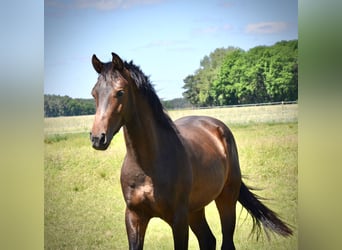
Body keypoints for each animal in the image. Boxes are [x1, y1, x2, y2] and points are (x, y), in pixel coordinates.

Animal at [89, 51, 292, 249]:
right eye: (94, 94)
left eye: (120, 92)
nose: (97, 138)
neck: (147, 166)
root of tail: (218, 127)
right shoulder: (134, 217)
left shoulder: (179, 220)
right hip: (195, 210)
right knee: (208, 240)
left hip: (226, 199)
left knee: (226, 242)